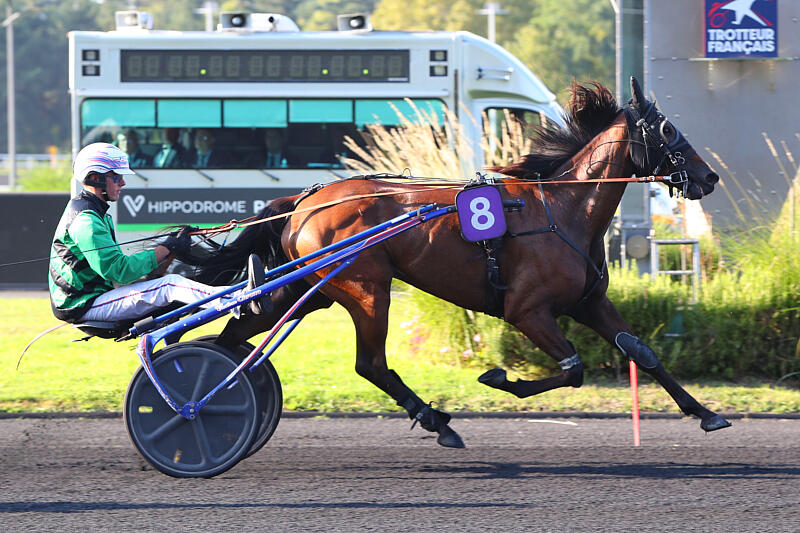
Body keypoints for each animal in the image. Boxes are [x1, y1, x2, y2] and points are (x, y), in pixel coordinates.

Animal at [180, 78, 730, 448]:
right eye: (667, 129)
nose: (709, 177)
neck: (563, 211)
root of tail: (304, 201)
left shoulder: (588, 301)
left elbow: (643, 352)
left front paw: (706, 413)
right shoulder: (527, 311)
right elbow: (572, 368)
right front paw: (500, 378)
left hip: (305, 290)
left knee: (236, 335)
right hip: (366, 289)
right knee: (370, 363)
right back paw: (436, 420)